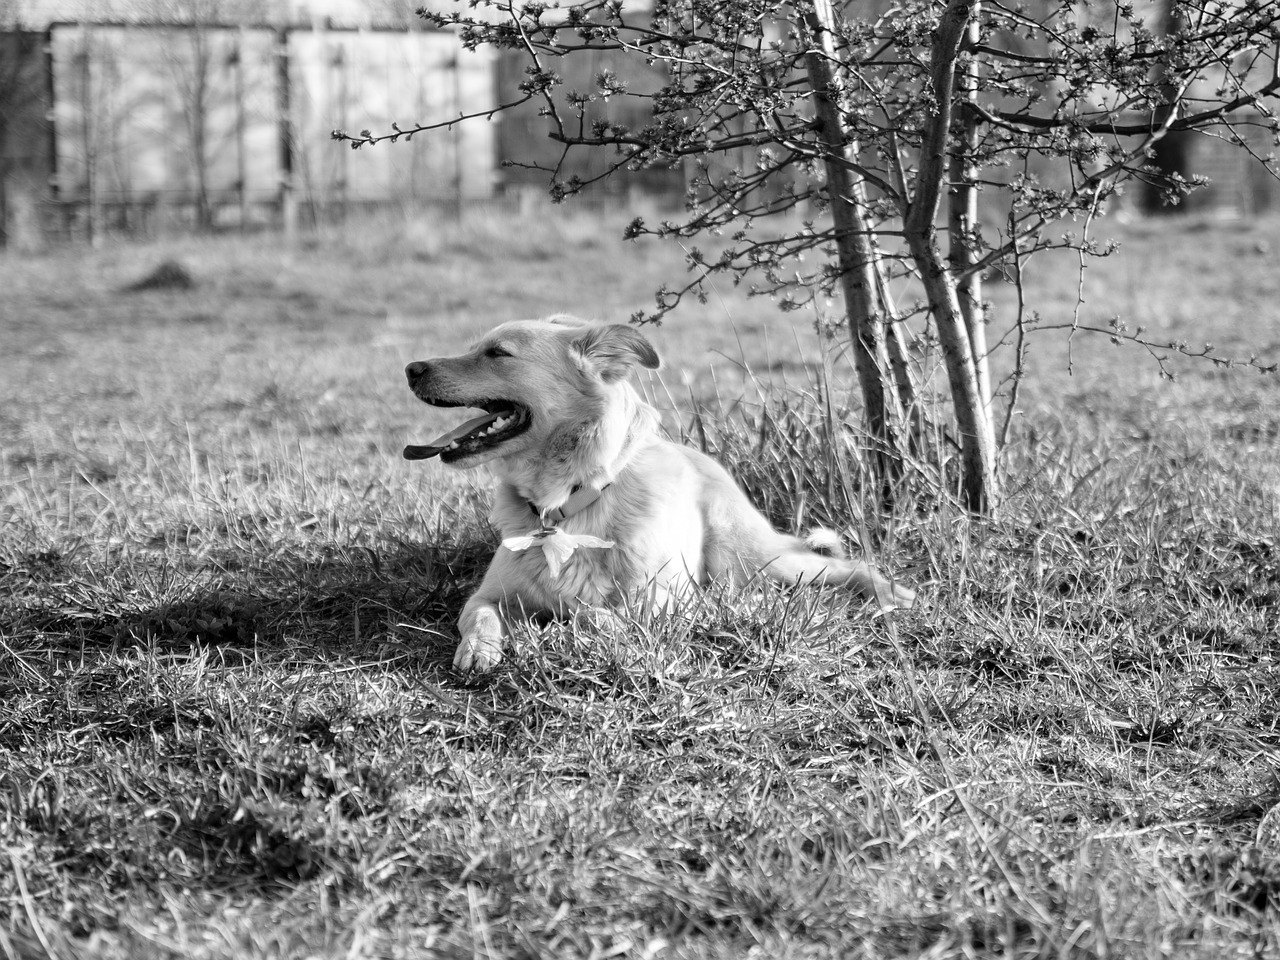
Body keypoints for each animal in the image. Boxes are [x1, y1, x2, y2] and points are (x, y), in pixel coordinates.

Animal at [404, 320, 916, 670]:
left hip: (748, 561)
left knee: (845, 566)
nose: (410, 367)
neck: (563, 507)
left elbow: (592, 614)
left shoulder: (666, 604)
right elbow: (480, 616)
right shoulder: (487, 596)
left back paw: (894, 595)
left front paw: (578, 624)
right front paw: (478, 650)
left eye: (498, 353)